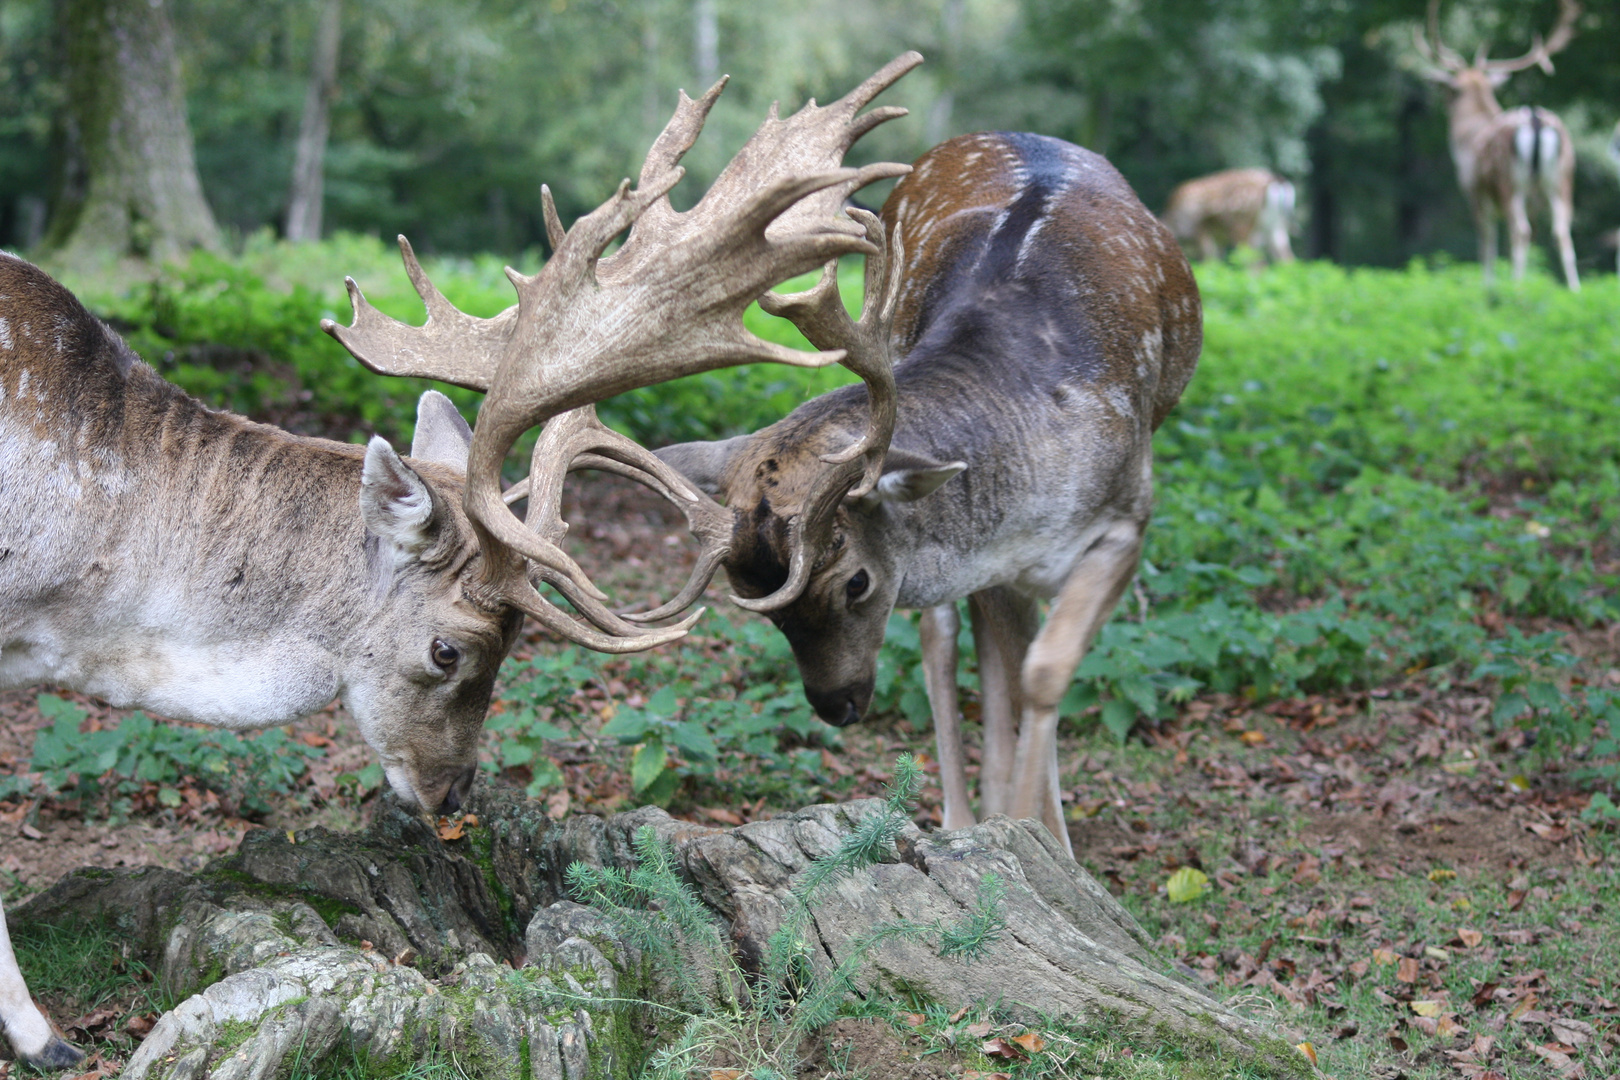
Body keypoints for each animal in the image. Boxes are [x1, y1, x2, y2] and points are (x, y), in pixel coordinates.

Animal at [648, 131, 1205, 854]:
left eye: (855, 582)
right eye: (760, 606)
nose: (837, 706)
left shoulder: (1128, 518)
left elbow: (1043, 671)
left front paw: (1044, 837)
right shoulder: (999, 560)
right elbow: (1006, 667)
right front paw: (1019, 825)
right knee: (941, 638)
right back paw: (964, 817)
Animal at [1419, 0, 1581, 289]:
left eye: (1449, 88)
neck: (1466, 140)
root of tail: (1535, 119)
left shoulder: (1472, 189)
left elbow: (1487, 242)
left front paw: (1489, 288)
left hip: (1509, 182)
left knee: (1520, 230)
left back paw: (1516, 288)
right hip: (1562, 178)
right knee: (1561, 231)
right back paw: (1574, 290)